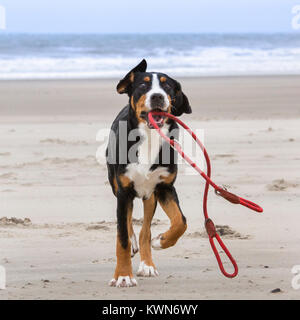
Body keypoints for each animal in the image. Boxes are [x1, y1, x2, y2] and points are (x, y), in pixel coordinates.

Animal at [106, 58, 191, 286]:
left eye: (167, 86)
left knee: (145, 230)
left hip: (149, 196)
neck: (150, 137)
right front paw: (123, 275)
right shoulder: (124, 191)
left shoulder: (164, 187)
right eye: (143, 86)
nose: (157, 96)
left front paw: (162, 241)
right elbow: (122, 237)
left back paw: (148, 264)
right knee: (127, 225)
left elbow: (181, 221)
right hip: (116, 186)